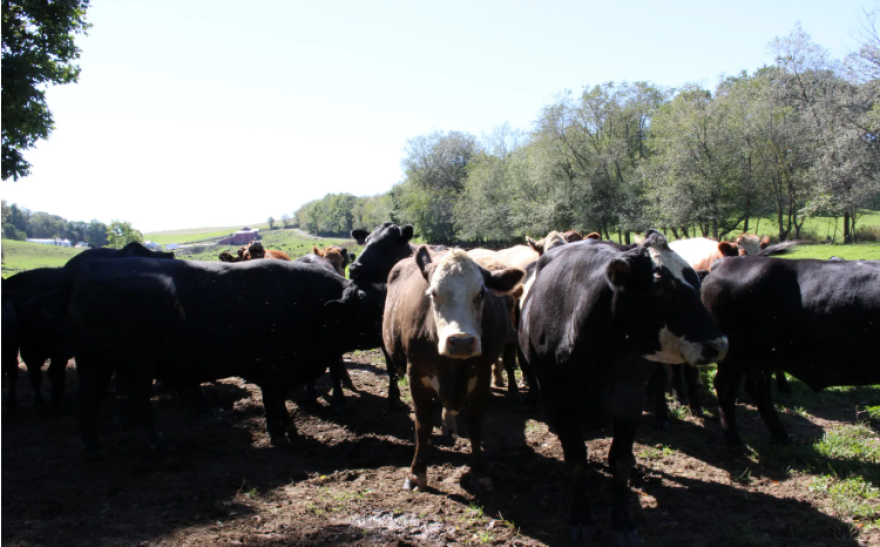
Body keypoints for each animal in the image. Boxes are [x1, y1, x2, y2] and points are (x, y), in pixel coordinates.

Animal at [65, 257, 385, 452]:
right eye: (370, 306)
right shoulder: (273, 371)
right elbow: (273, 402)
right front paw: (279, 434)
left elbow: (279, 404)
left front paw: (285, 428)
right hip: (136, 366)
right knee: (139, 402)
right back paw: (157, 443)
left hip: (94, 364)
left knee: (87, 402)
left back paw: (91, 446)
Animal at [383, 247, 524, 491]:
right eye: (433, 293)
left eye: (481, 294)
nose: (460, 341)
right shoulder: (415, 373)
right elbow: (423, 423)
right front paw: (416, 473)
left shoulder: (482, 375)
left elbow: (475, 424)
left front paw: (479, 473)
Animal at [519, 230, 728, 543]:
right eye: (661, 290)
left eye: (696, 282)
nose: (718, 345)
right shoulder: (558, 399)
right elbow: (576, 459)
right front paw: (580, 518)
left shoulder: (629, 398)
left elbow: (620, 460)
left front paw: (622, 521)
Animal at [701, 256, 880, 451]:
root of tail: (725, 262)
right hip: (734, 359)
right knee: (726, 390)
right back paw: (735, 442)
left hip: (761, 360)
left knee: (758, 391)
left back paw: (782, 437)